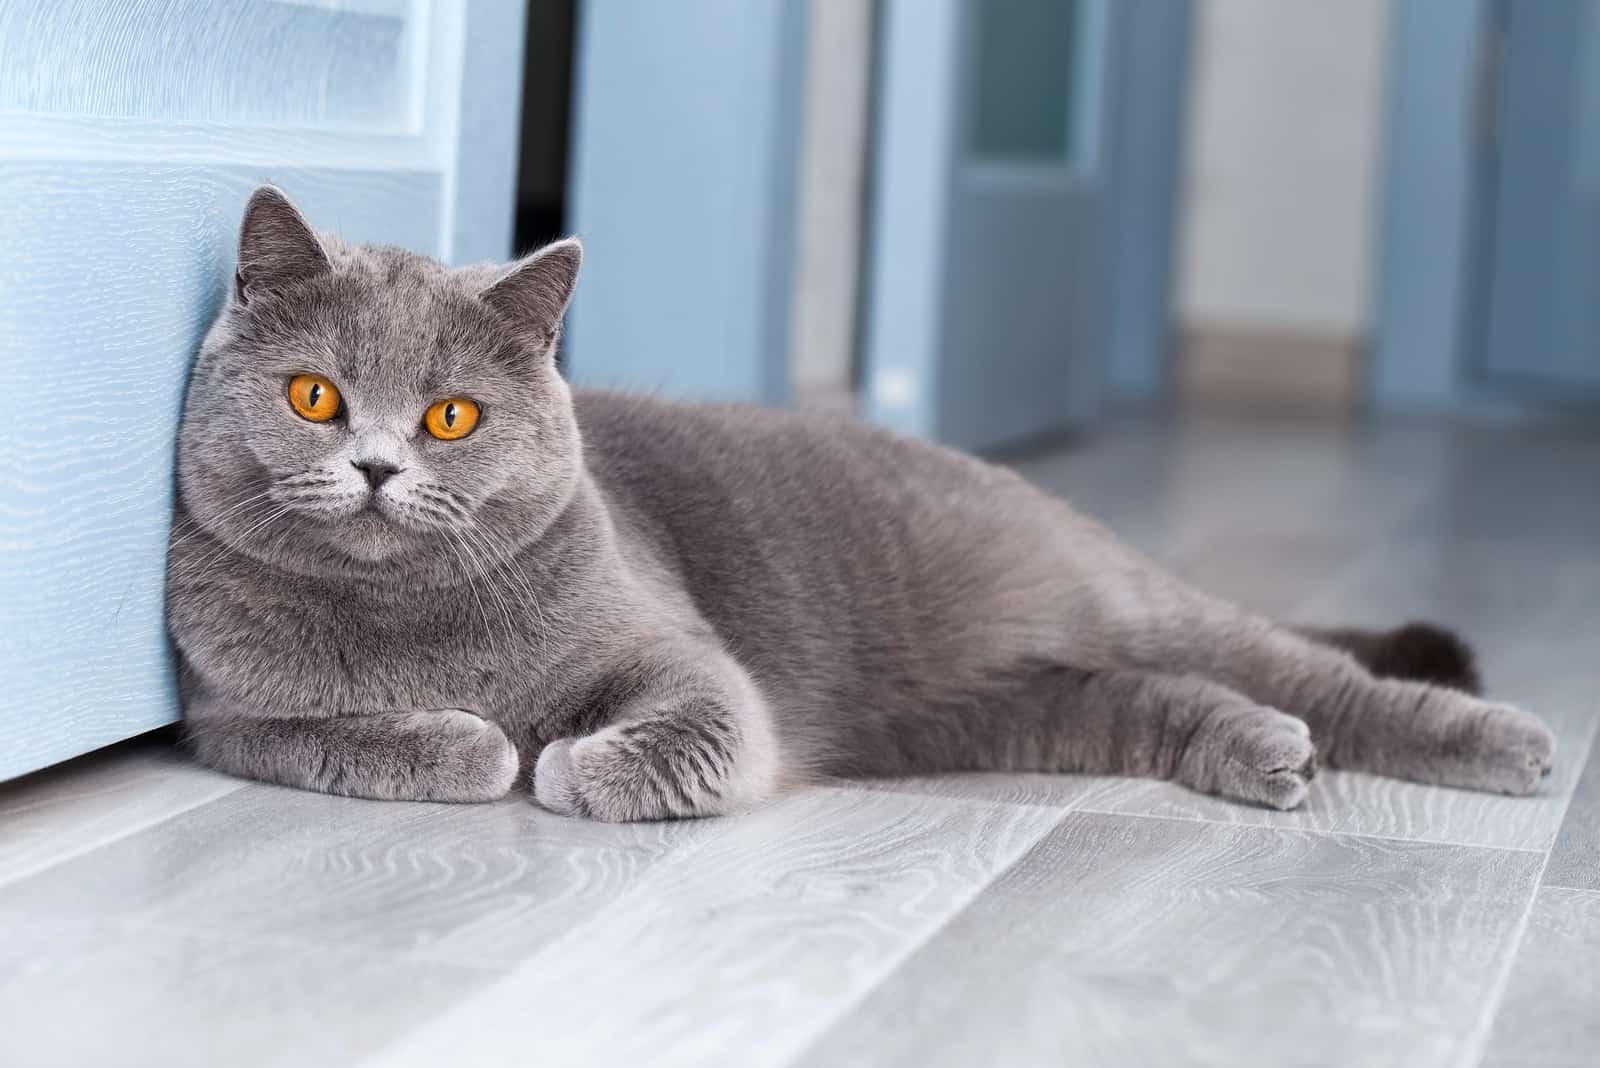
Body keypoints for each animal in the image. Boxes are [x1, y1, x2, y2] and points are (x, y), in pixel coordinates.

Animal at [168, 187, 1555, 824]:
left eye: (451, 416)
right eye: (315, 396)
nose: (377, 467)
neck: (417, 625)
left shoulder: (684, 657)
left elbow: (689, 725)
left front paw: (569, 762)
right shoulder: (226, 717)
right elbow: (345, 738)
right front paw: (478, 743)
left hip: (1119, 602)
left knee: (1309, 672)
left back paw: (1505, 744)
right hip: (1000, 710)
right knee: (1160, 698)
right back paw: (1265, 753)